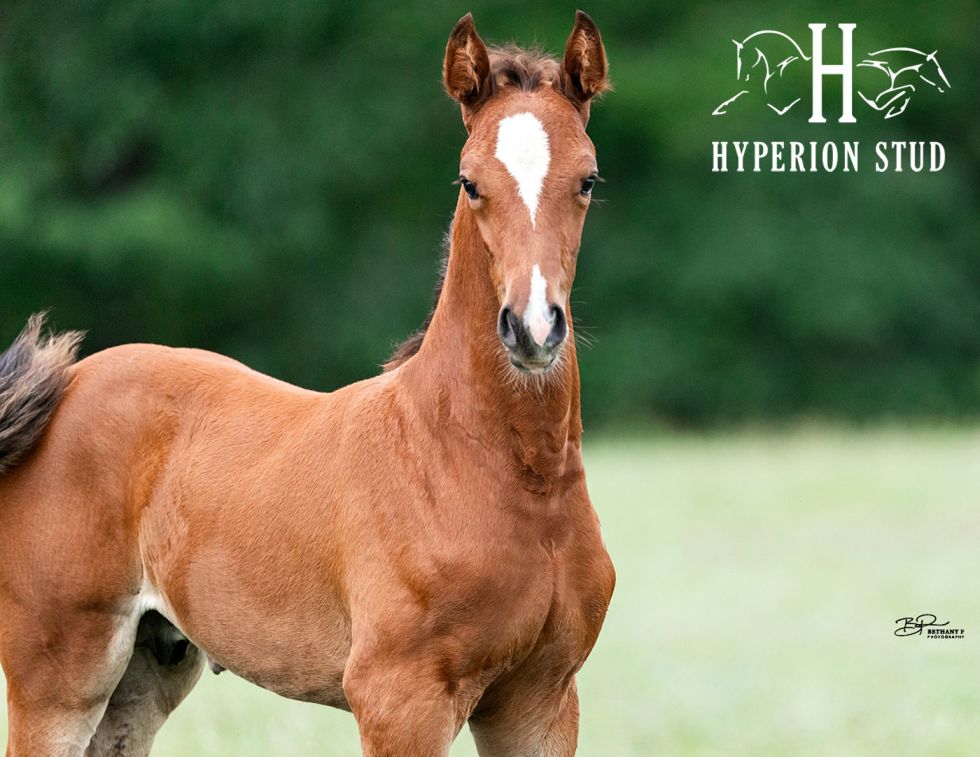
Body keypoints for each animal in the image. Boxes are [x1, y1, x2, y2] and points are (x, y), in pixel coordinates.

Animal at [0, 11, 615, 757]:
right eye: (470, 182)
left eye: (587, 179)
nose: (532, 328)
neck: (507, 474)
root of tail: (65, 386)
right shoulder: (397, 698)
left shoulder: (541, 698)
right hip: (59, 671)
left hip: (147, 668)